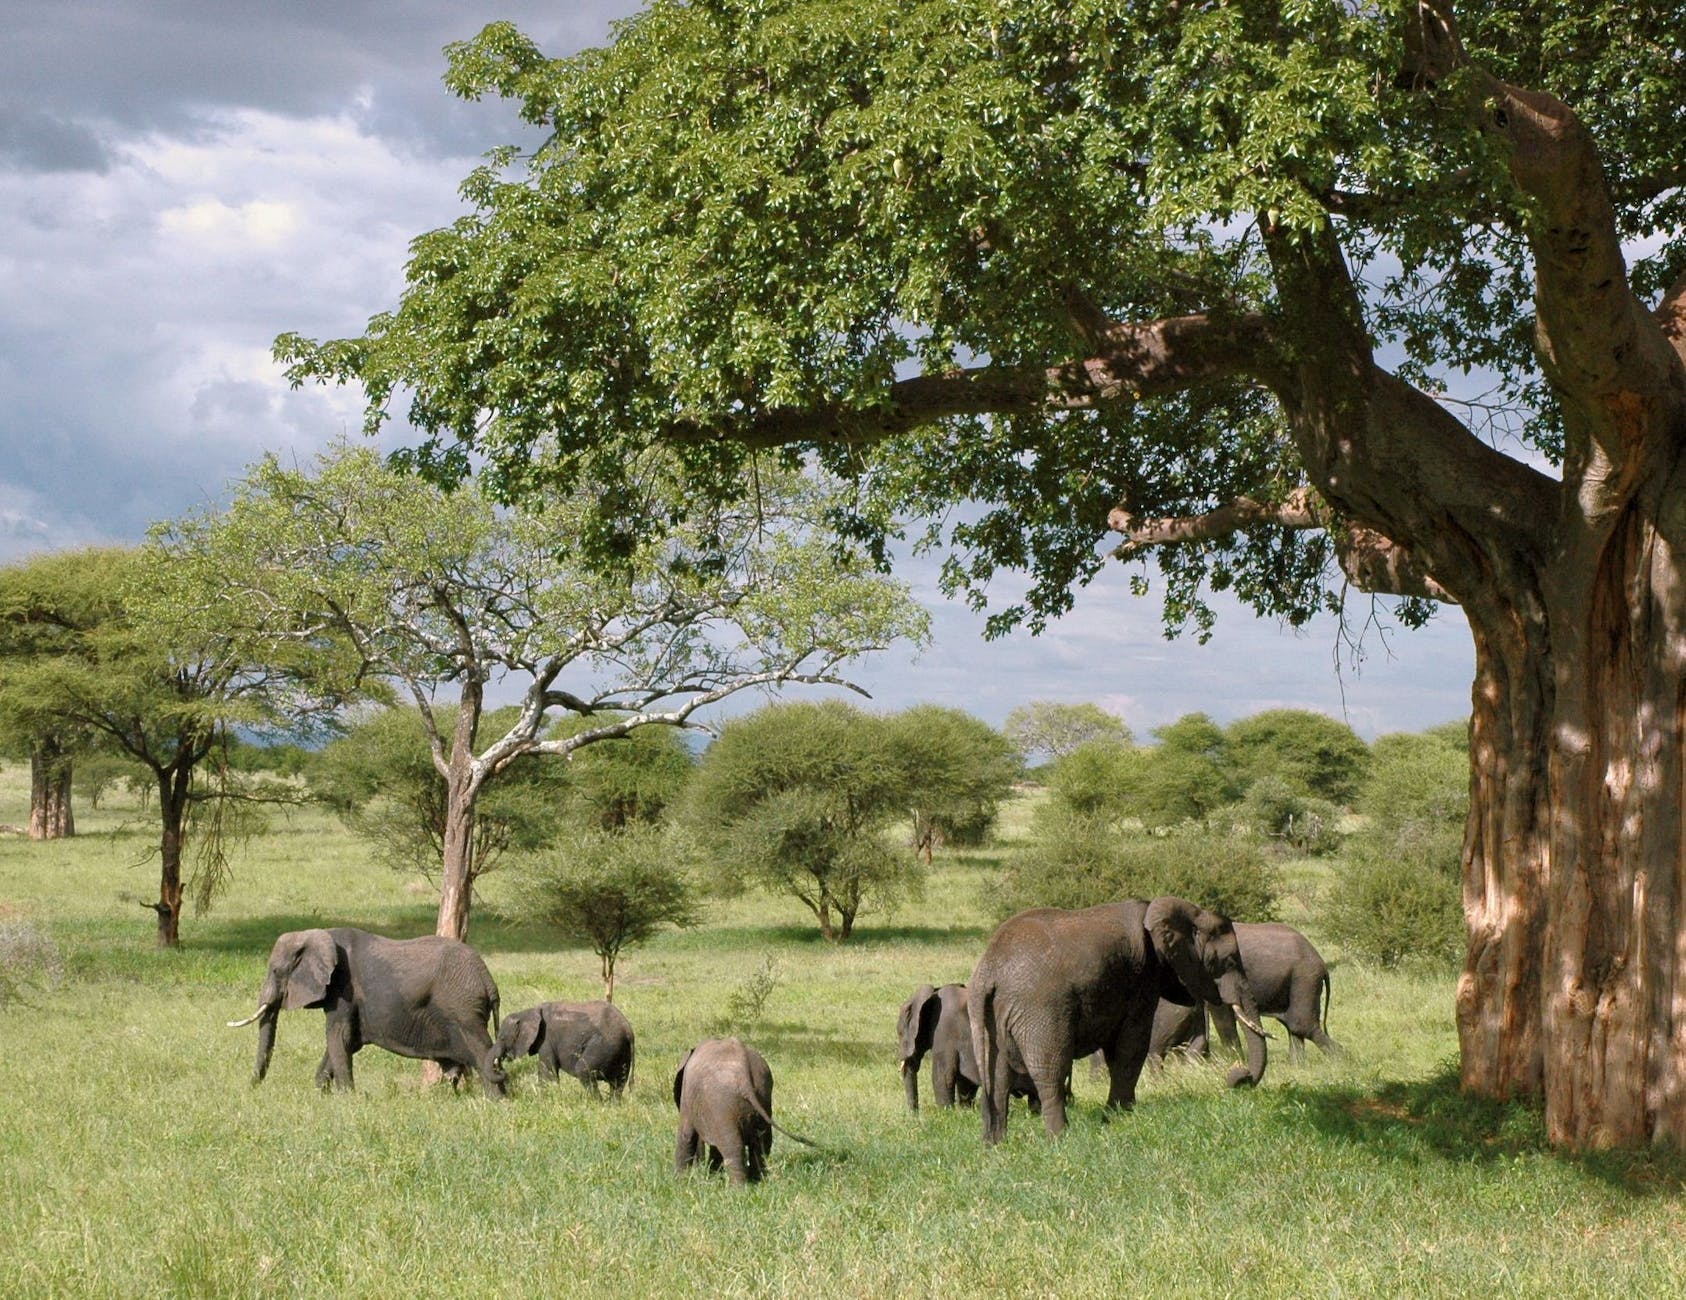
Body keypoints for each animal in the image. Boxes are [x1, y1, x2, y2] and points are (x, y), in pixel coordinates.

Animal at [227, 923, 509, 1099]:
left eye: (276, 971)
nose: (250, 1089)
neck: (317, 934)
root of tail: (488, 980)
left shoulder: (343, 989)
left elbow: (338, 1037)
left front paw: (346, 1099)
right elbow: (346, 1041)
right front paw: (321, 1094)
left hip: (462, 1008)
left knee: (481, 1049)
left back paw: (497, 1101)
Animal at [495, 998, 640, 1099]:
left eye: (501, 1038)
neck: (527, 1012)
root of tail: (628, 1030)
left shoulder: (546, 1040)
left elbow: (547, 1073)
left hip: (604, 1045)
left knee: (583, 1070)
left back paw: (597, 1103)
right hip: (621, 1050)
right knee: (618, 1082)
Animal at [671, 1045, 816, 1187]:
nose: (698, 1166)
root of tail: (744, 1076)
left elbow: (686, 1135)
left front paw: (680, 1181)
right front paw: (712, 1176)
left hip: (723, 1104)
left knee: (733, 1146)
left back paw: (737, 1189)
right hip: (763, 1096)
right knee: (762, 1143)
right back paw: (758, 1181)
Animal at [964, 897, 1267, 1146]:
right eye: (1228, 961)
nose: (1237, 1077)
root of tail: (989, 972)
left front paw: (1117, 1116)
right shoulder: (1142, 977)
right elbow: (1132, 1046)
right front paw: (1119, 1118)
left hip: (991, 1016)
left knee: (998, 1077)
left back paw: (995, 1145)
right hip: (1041, 1011)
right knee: (1050, 1071)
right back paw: (1060, 1139)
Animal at [1207, 917, 1335, 1065]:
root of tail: (1322, 962)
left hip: (1305, 979)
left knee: (1301, 1025)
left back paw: (1341, 1060)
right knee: (1294, 1026)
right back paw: (1297, 1066)